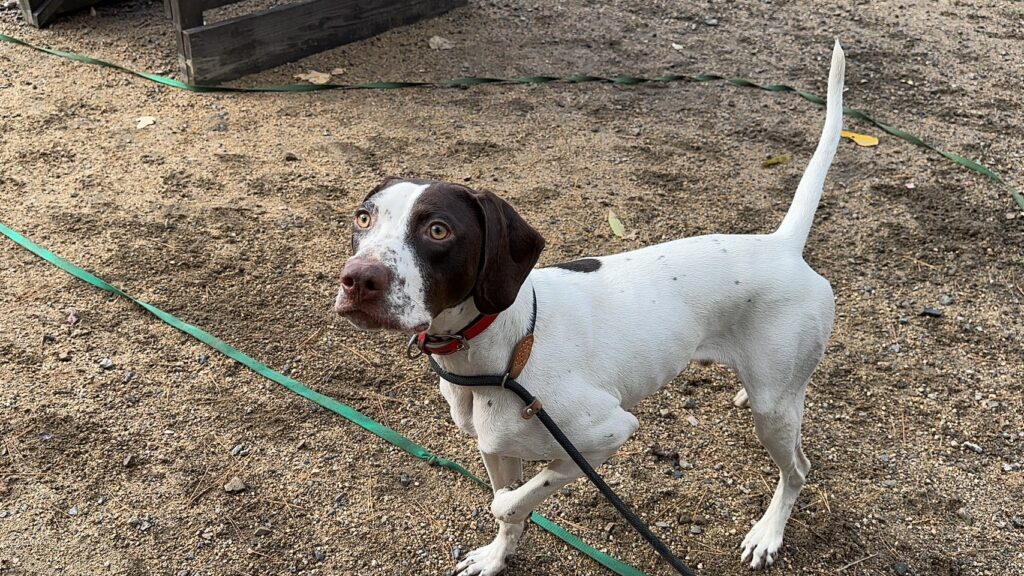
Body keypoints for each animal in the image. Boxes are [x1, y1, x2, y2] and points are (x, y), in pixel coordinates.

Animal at [334, 41, 845, 573]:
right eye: (363, 217)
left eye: (438, 230)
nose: (358, 279)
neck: (506, 352)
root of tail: (781, 244)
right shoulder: (495, 448)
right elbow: (509, 509)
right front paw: (496, 558)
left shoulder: (605, 434)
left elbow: (509, 502)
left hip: (774, 414)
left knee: (798, 469)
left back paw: (768, 533)